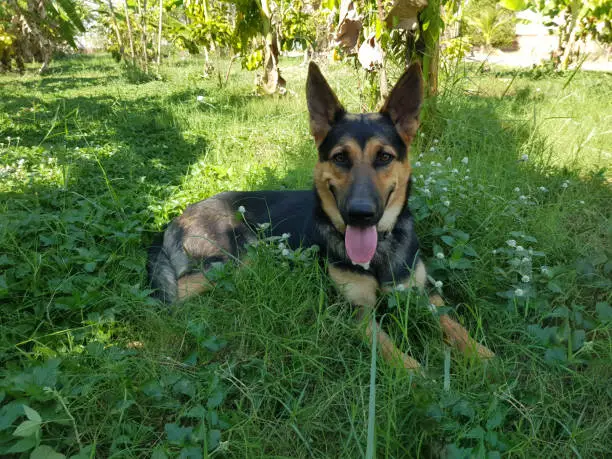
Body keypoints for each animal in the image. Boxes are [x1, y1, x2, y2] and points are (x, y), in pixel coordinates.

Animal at [147, 62, 492, 370]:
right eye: (340, 158)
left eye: (384, 157)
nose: (360, 215)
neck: (379, 251)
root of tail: (175, 220)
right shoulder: (357, 312)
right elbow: (390, 352)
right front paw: (416, 376)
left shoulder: (424, 294)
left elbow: (453, 323)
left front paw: (483, 356)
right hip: (241, 256)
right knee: (181, 288)